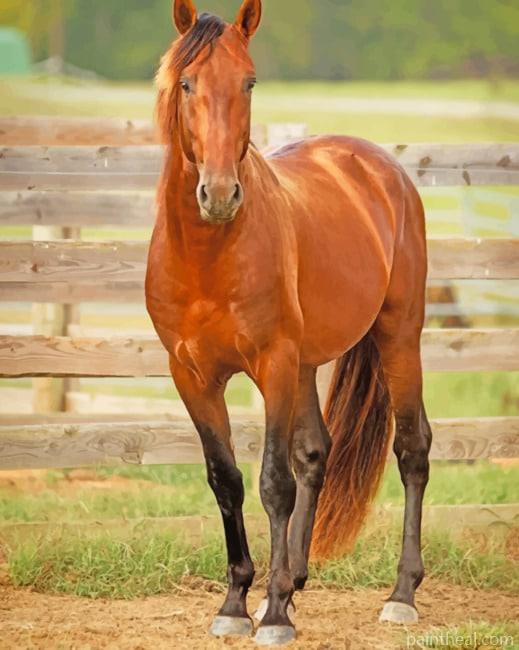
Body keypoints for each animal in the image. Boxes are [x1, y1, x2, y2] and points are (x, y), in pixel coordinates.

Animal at [145, 0, 432, 645]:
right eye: (186, 83)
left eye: (249, 82)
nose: (219, 194)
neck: (208, 254)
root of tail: (381, 167)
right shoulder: (191, 375)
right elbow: (226, 479)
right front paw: (236, 603)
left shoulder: (271, 363)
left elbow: (273, 482)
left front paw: (272, 614)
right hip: (305, 364)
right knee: (316, 453)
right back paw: (295, 580)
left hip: (398, 337)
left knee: (412, 449)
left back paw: (400, 595)